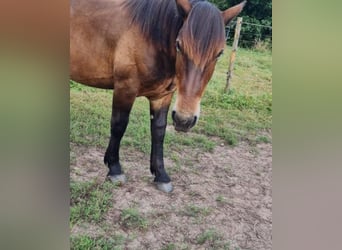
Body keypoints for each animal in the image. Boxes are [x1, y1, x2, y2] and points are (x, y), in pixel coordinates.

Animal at [70, 0, 246, 193]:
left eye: (219, 53)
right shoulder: (125, 87)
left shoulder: (163, 96)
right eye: (179, 45)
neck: (150, 36)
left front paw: (161, 175)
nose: (184, 120)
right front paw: (114, 169)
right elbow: (119, 125)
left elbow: (159, 131)